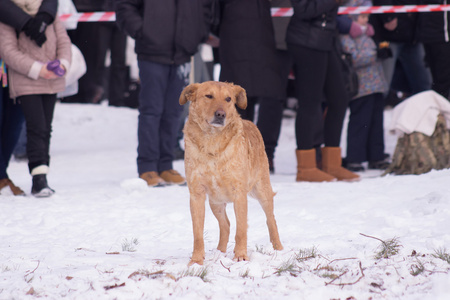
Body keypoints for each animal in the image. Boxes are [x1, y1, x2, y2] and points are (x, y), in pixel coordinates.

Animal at [178, 81, 282, 264]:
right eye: (209, 96)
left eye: (228, 99)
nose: (221, 114)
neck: (212, 141)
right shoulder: (197, 193)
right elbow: (198, 233)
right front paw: (196, 260)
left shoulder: (239, 192)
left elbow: (241, 230)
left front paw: (240, 256)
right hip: (215, 201)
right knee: (225, 224)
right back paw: (220, 251)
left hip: (261, 190)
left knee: (271, 219)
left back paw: (278, 247)